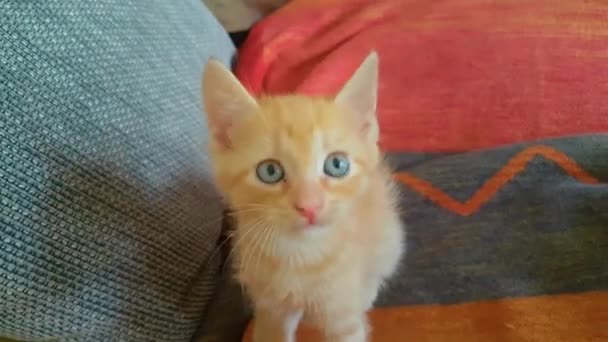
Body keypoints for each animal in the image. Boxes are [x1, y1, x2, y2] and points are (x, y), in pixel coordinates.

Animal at [202, 52, 406, 340]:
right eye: (270, 171)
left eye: (336, 165)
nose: (310, 206)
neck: (299, 256)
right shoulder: (269, 309)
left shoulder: (343, 317)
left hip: (389, 240)